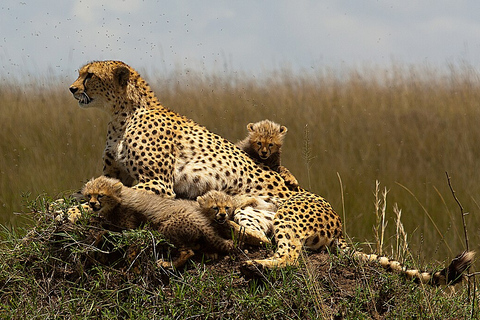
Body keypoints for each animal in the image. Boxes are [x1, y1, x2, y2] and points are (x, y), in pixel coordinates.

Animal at [69, 60, 474, 284]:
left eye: (88, 75)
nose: (72, 89)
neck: (121, 113)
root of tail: (340, 227)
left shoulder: (156, 182)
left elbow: (96, 199)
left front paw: (71, 212)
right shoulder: (120, 176)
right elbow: (91, 190)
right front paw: (75, 208)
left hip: (290, 213)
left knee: (289, 253)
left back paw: (254, 265)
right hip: (253, 212)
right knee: (257, 237)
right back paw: (224, 229)